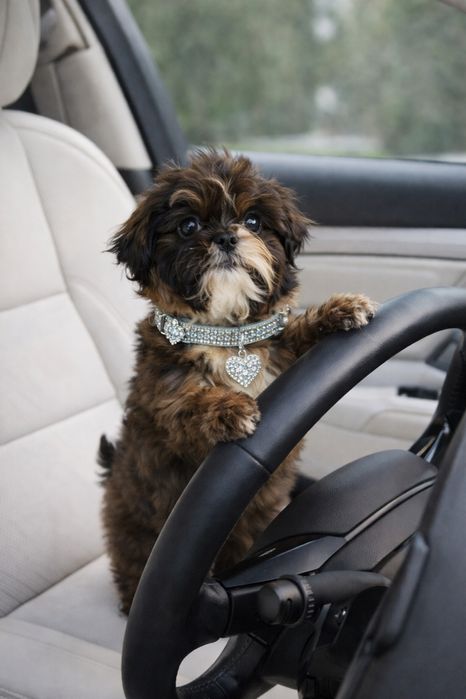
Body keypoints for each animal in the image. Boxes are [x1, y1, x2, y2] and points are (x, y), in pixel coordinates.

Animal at [99, 149, 376, 614]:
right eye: (189, 226)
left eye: (253, 221)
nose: (228, 238)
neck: (227, 336)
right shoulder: (165, 396)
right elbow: (189, 404)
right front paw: (229, 408)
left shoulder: (281, 357)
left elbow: (294, 334)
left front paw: (339, 311)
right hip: (139, 530)